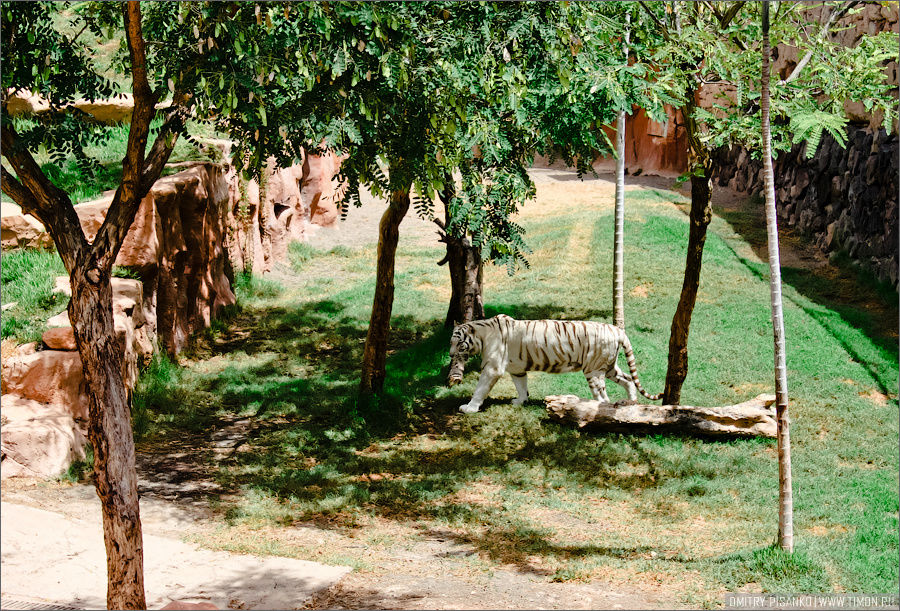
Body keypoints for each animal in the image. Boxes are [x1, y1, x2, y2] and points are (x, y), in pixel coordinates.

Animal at [444, 314, 660, 414]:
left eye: (458, 343)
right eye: (450, 342)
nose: (450, 354)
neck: (482, 335)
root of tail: (617, 330)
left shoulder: (492, 368)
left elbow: (480, 389)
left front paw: (469, 408)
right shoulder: (517, 368)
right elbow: (521, 386)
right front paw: (521, 401)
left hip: (594, 371)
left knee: (603, 399)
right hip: (608, 367)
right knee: (628, 380)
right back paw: (631, 403)